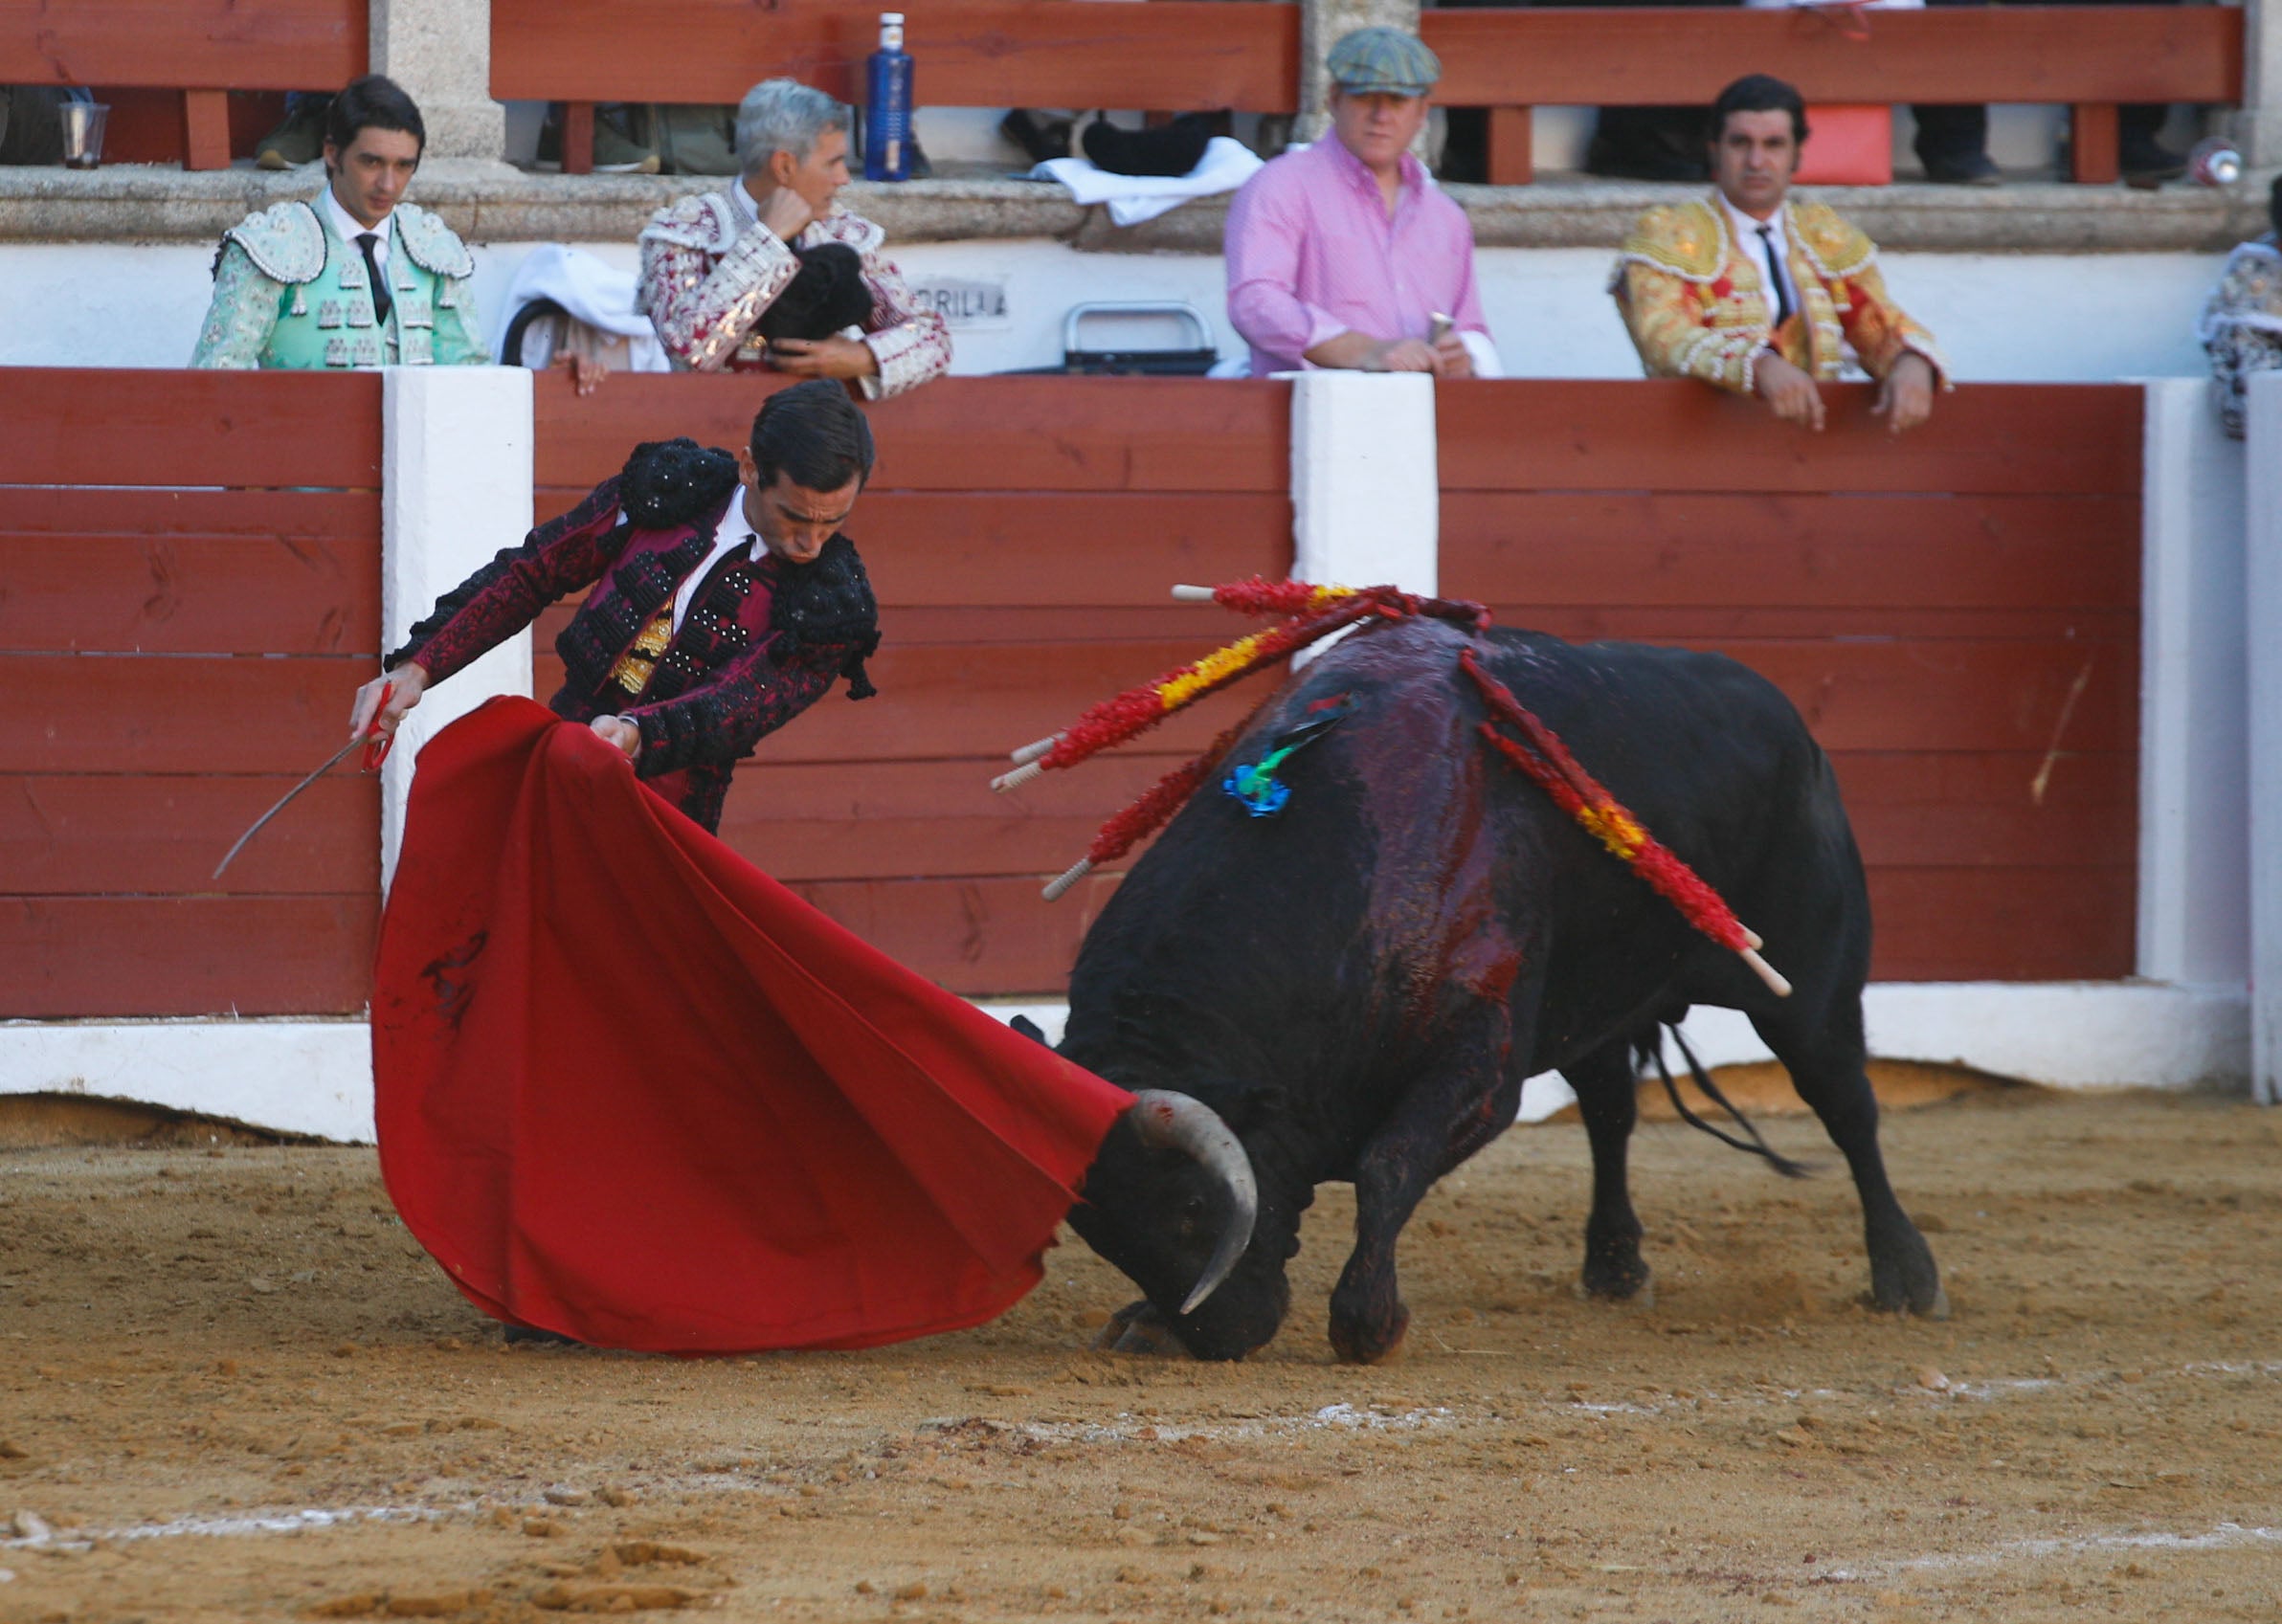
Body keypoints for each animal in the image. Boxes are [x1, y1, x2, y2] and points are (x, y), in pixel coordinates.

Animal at [1044, 615, 1944, 1359]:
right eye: (1101, 1232)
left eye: (1194, 1209)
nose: (1217, 1335)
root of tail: (1789, 719)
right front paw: (1146, 1321)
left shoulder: (1482, 1062)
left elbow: (1387, 1163)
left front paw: (1369, 1323)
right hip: (1594, 1007)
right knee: (1610, 1111)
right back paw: (1615, 1266)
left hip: (1811, 988)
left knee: (1847, 1107)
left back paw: (1907, 1278)